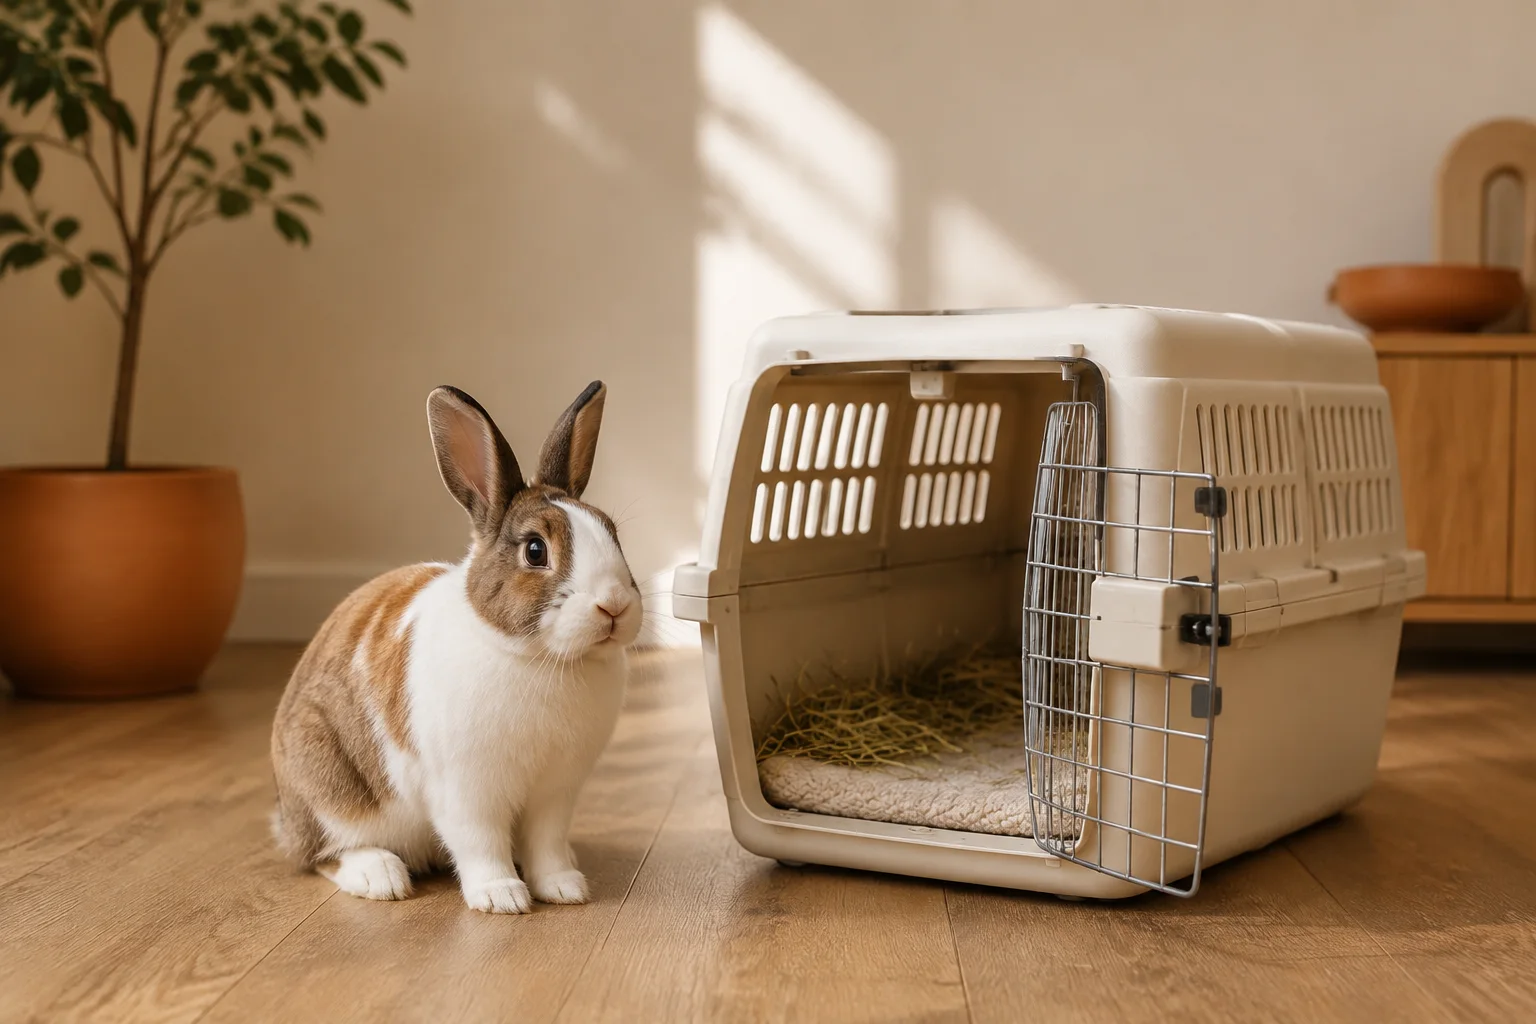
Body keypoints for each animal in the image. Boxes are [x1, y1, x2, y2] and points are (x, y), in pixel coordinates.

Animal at [269, 381, 642, 913]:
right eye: (535, 550)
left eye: (613, 532)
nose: (613, 606)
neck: (536, 657)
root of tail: (285, 817)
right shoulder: (466, 790)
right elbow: (479, 841)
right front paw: (502, 896)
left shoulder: (556, 792)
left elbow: (547, 842)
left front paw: (564, 887)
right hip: (327, 785)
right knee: (323, 854)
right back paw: (381, 876)